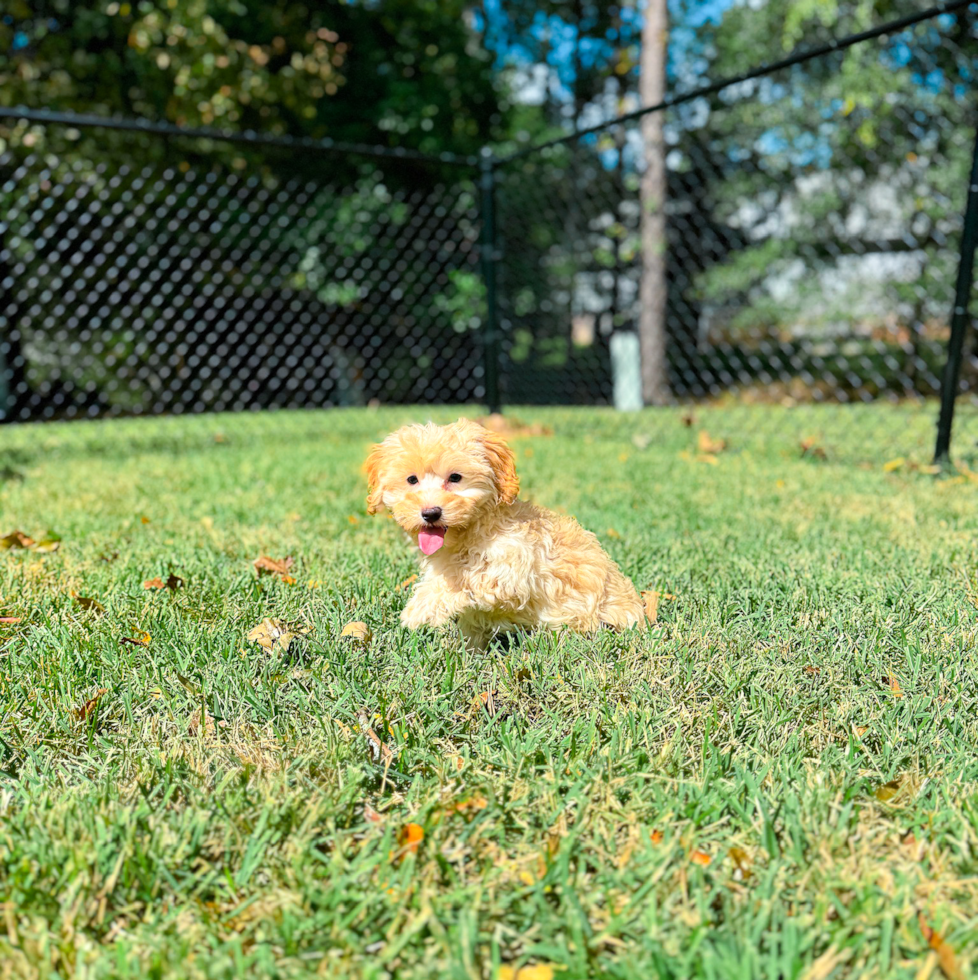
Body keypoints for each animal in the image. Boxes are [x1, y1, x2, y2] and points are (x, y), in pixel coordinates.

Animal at [364, 418, 640, 648]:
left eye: (455, 477)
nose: (430, 513)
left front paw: (419, 610)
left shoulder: (515, 567)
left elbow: (470, 580)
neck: (470, 531)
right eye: (412, 480)